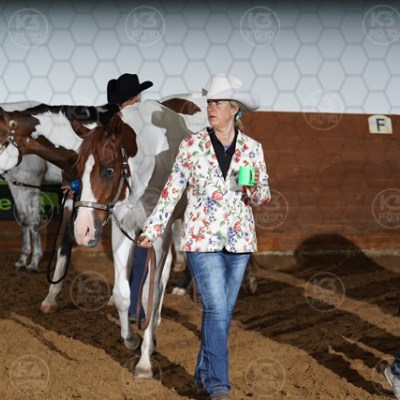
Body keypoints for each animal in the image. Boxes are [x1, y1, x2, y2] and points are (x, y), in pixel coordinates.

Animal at [72, 100, 206, 377]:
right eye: (78, 168)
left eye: (108, 169)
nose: (82, 231)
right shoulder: (123, 229)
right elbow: (123, 293)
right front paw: (132, 339)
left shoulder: (158, 235)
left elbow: (148, 294)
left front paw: (144, 362)